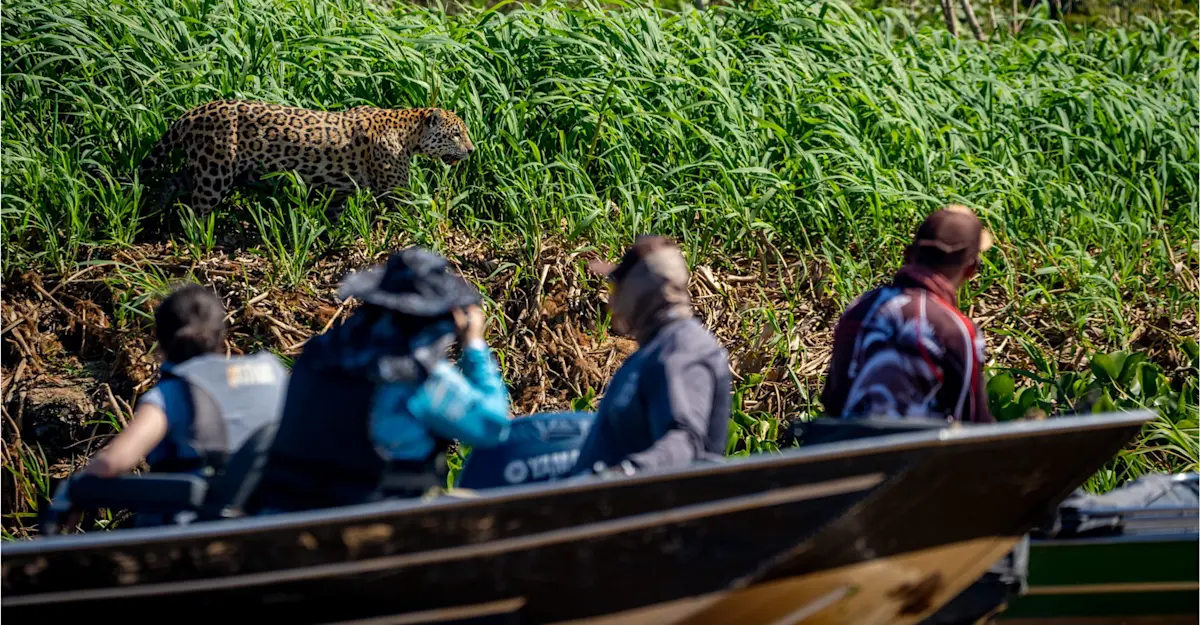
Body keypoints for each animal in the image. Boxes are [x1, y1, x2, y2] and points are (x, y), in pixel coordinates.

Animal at [136, 99, 475, 217]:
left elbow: (333, 215)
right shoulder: (396, 189)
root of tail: (192, 113)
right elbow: (414, 210)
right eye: (457, 134)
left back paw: (154, 209)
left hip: (205, 166)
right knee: (197, 208)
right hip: (215, 173)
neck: (408, 132)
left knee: (173, 179)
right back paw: (200, 238)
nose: (472, 151)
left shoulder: (339, 190)